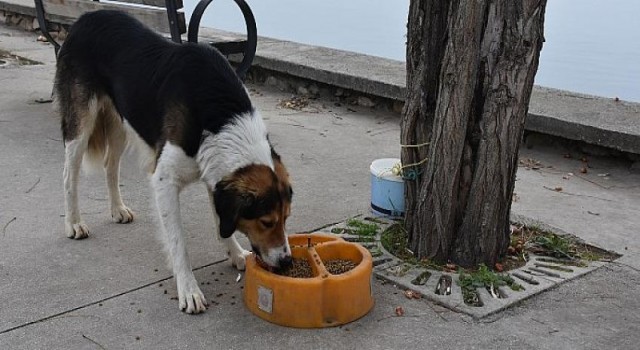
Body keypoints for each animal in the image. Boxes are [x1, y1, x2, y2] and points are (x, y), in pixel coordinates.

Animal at [56, 10, 294, 314]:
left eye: (286, 218)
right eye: (266, 222)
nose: (287, 262)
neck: (219, 117)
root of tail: (86, 16)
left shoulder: (214, 174)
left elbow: (221, 221)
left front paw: (236, 253)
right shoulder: (164, 180)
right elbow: (178, 242)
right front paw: (189, 289)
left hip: (121, 120)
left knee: (111, 165)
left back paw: (117, 209)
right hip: (81, 122)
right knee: (69, 174)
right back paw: (74, 223)